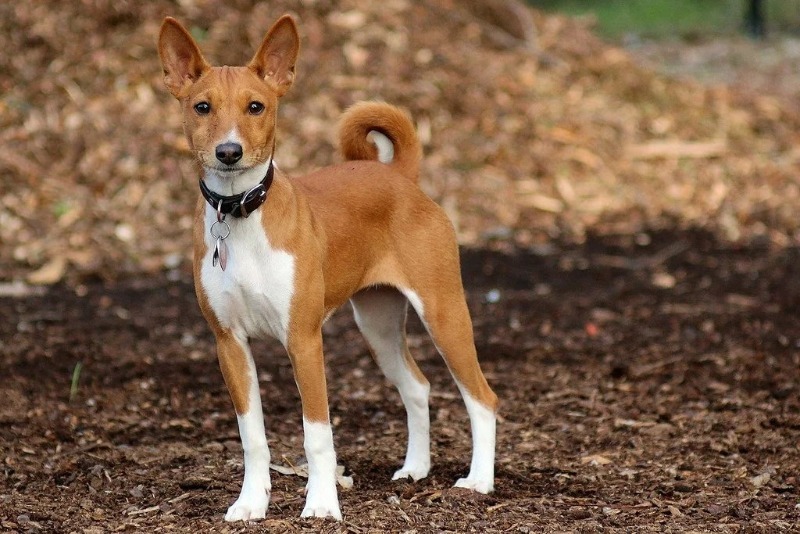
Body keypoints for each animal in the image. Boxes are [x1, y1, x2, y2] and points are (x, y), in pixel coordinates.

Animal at [156, 13, 496, 524]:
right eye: (201, 107)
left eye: (255, 106)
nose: (229, 152)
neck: (241, 215)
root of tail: (399, 175)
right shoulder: (229, 344)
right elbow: (253, 438)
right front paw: (251, 503)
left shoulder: (303, 340)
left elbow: (316, 435)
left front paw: (320, 505)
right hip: (378, 325)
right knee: (417, 387)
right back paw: (415, 468)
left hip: (444, 314)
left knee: (482, 398)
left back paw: (478, 481)